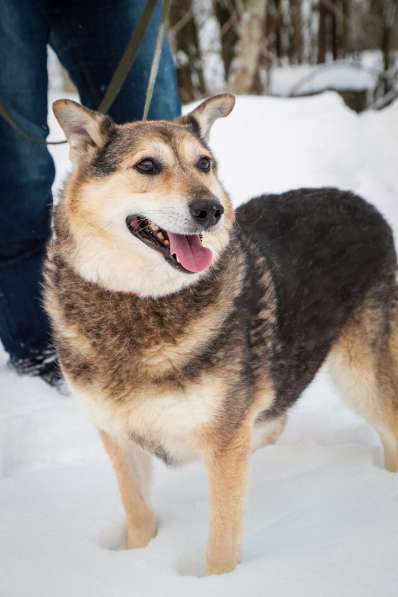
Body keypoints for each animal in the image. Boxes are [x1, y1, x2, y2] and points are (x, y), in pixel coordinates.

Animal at [45, 95, 398, 576]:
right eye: (147, 166)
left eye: (204, 163)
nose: (210, 210)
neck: (140, 300)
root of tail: (361, 202)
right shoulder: (118, 436)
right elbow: (138, 516)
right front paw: (136, 560)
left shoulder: (224, 442)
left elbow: (221, 542)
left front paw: (217, 581)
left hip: (361, 377)